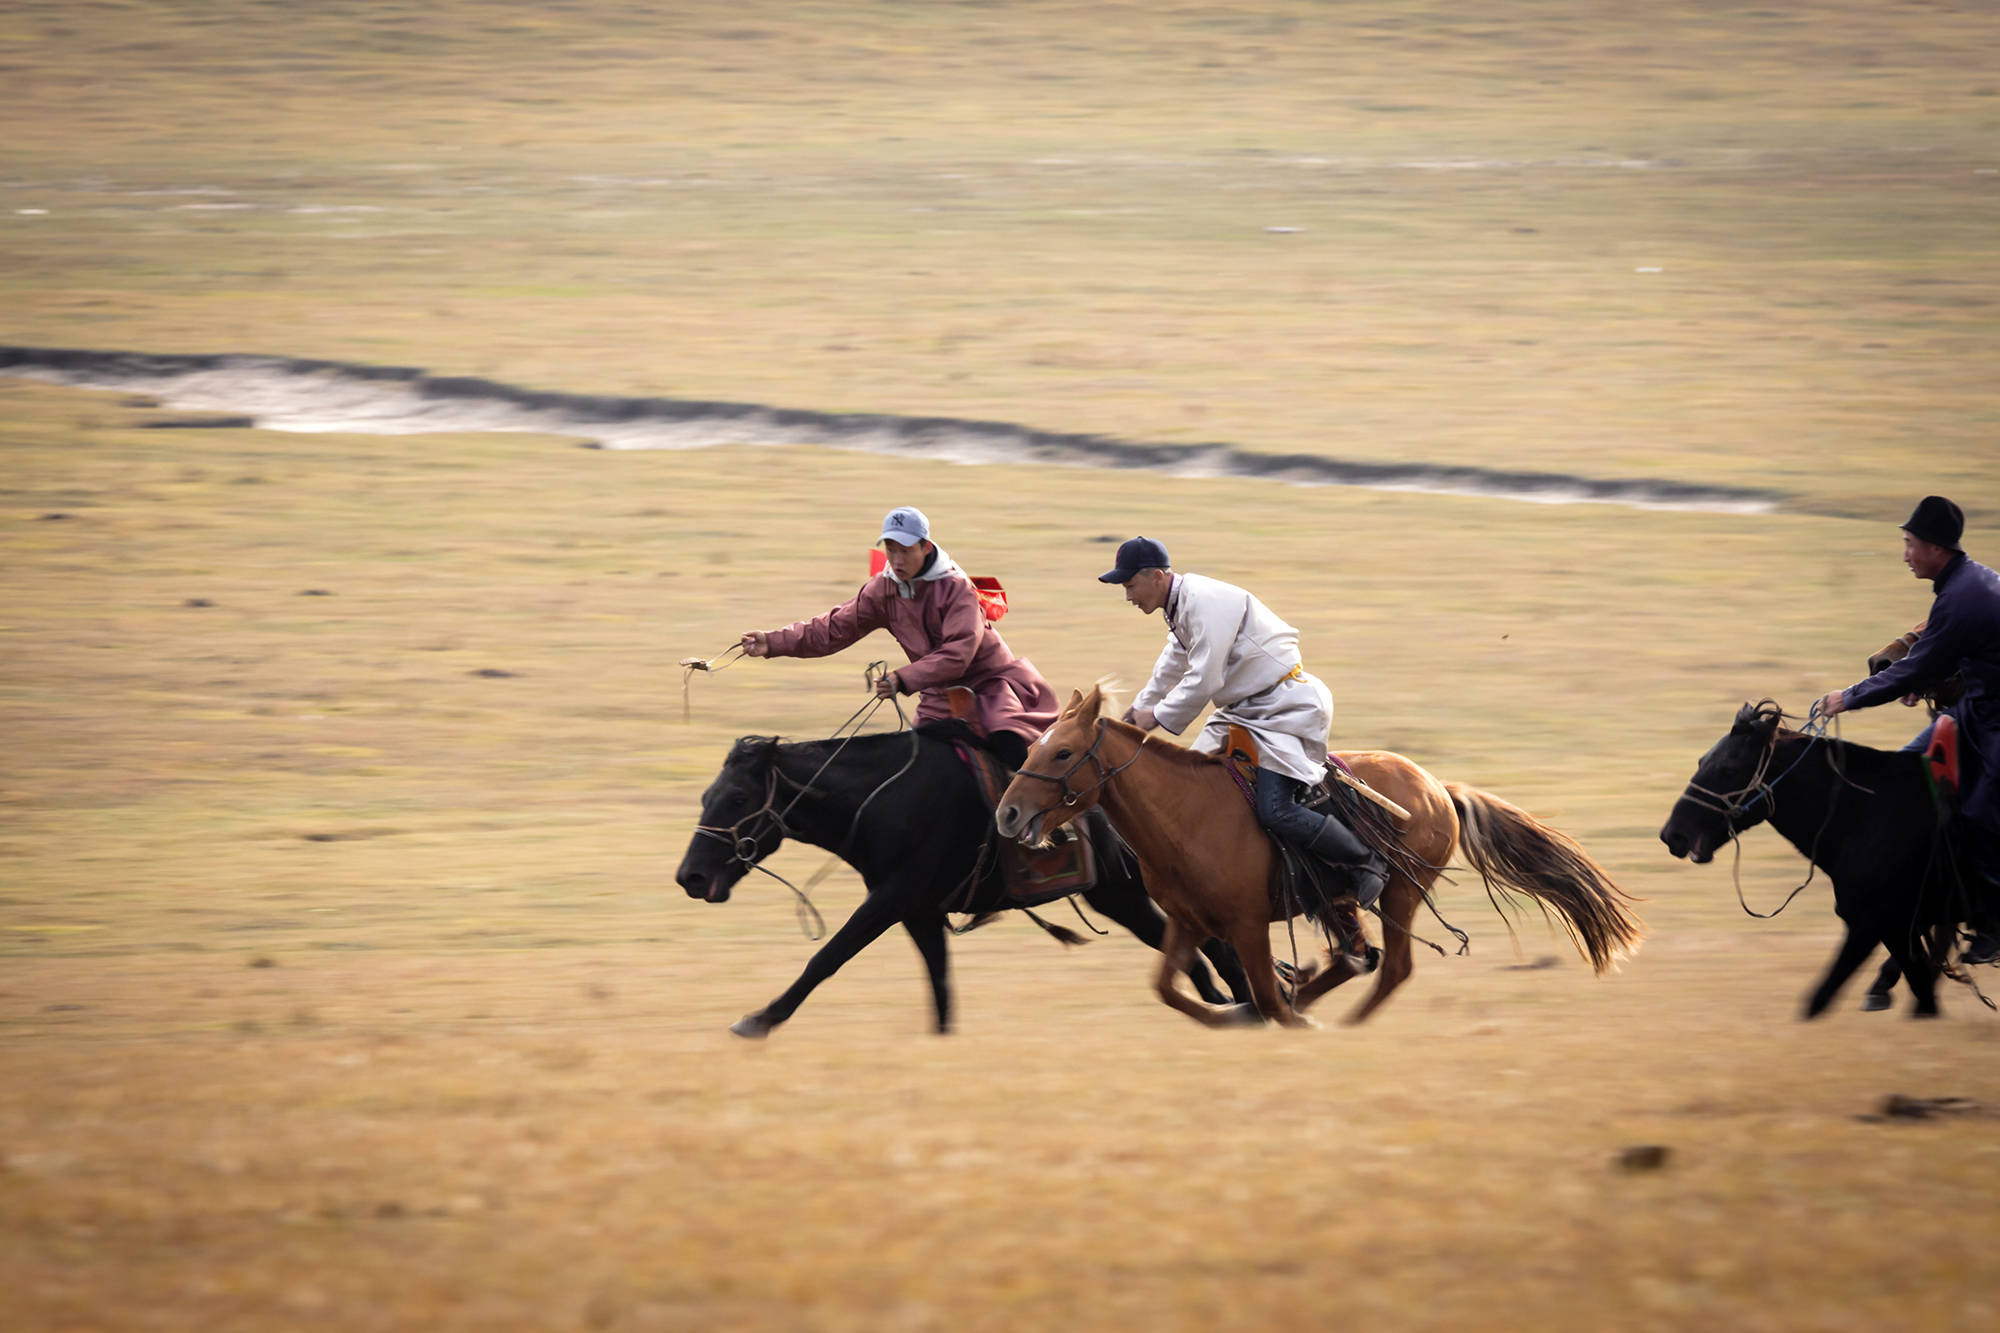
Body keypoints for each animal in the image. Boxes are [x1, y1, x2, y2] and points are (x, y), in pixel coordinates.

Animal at [680, 720, 1240, 1032]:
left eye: (737, 798)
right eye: (707, 795)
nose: (690, 877)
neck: (881, 797)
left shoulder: (891, 899)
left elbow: (827, 956)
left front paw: (759, 1020)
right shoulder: (918, 912)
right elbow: (941, 985)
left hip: (1132, 891)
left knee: (1214, 946)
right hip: (1120, 898)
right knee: (1194, 953)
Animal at [996, 684, 1640, 1016]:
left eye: (1061, 752)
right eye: (1035, 743)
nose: (1008, 813)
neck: (1186, 815)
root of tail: (1439, 789)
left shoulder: (1246, 924)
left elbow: (1258, 991)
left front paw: (1275, 1010)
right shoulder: (1188, 921)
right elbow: (1172, 990)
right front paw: (1246, 1012)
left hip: (1398, 894)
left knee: (1389, 967)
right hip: (1338, 901)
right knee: (1358, 958)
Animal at [1656, 700, 1968, 1012]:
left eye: (1727, 769)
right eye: (1701, 761)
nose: (1673, 835)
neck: (1868, 812)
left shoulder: (1876, 923)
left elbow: (1822, 997)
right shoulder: (1891, 925)